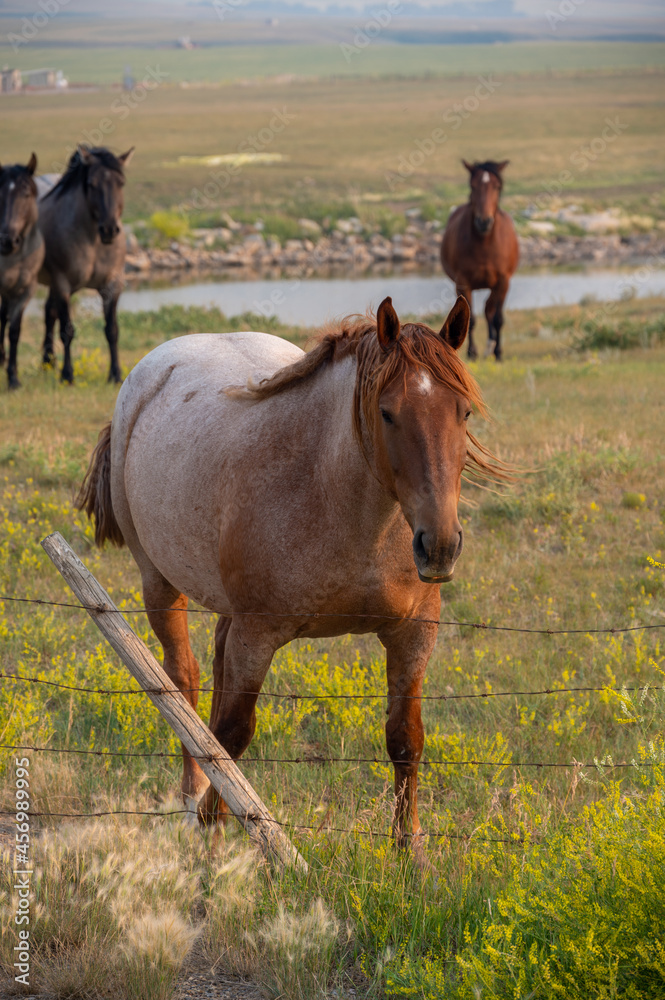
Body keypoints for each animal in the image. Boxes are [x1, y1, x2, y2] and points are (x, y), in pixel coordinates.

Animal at [38, 146, 134, 384]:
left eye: (121, 183)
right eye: (92, 184)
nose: (109, 229)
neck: (93, 242)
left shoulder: (112, 285)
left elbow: (112, 330)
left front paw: (115, 374)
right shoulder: (62, 284)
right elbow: (67, 330)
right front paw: (67, 375)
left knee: (48, 312)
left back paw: (47, 363)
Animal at [76, 294, 504, 852]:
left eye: (463, 411)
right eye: (387, 413)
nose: (440, 545)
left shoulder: (413, 633)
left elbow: (405, 738)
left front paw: (409, 853)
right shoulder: (258, 634)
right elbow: (232, 736)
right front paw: (212, 829)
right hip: (160, 585)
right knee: (182, 680)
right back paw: (191, 794)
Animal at [440, 156, 520, 360]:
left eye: (497, 186)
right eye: (472, 186)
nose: (484, 222)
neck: (484, 244)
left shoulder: (503, 281)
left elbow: (498, 318)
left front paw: (498, 353)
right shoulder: (463, 283)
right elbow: (471, 319)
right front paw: (471, 353)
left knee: (489, 310)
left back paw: (491, 346)